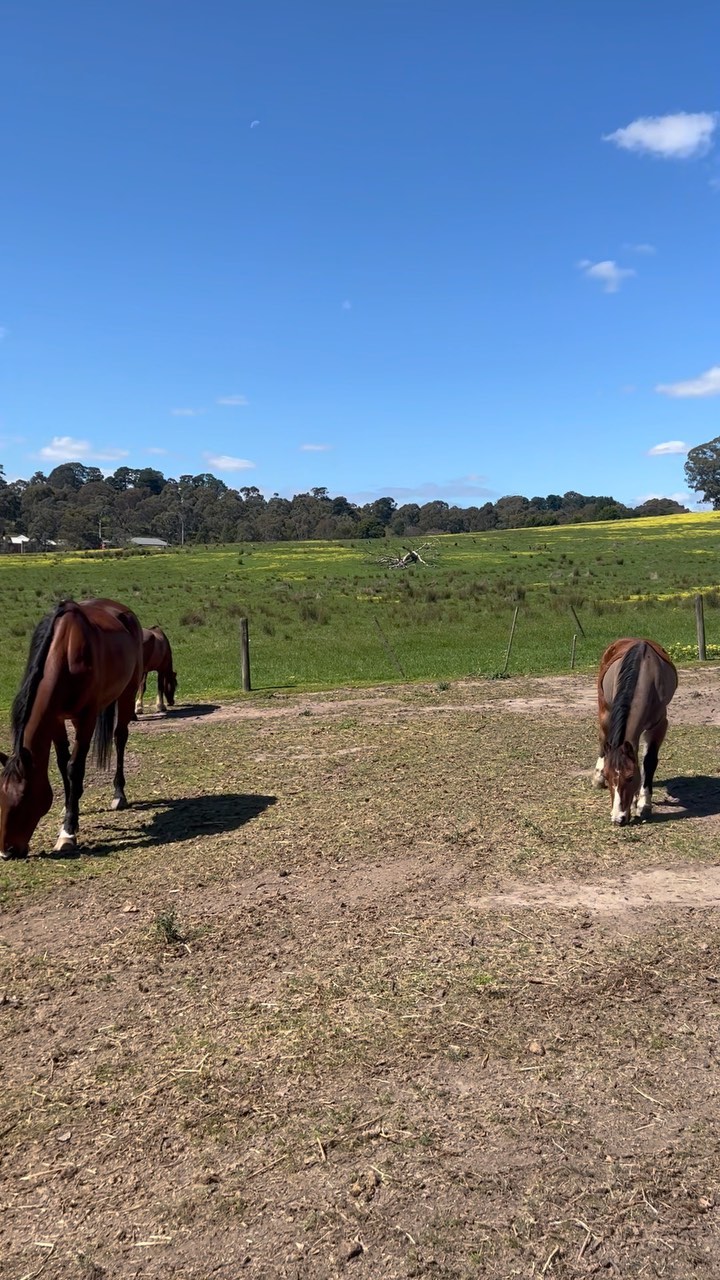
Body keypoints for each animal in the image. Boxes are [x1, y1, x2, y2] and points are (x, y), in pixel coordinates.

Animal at [0, 598, 144, 859]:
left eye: (24, 797)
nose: (6, 852)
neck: (64, 653)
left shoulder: (86, 718)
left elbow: (74, 767)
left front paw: (68, 832)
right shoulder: (55, 718)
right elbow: (61, 763)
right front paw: (69, 809)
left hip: (127, 693)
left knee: (120, 738)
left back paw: (119, 794)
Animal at [592, 637, 677, 825]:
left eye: (631, 777)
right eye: (608, 777)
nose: (618, 819)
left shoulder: (659, 725)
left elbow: (648, 762)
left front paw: (643, 804)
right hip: (603, 707)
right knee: (602, 738)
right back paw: (596, 778)